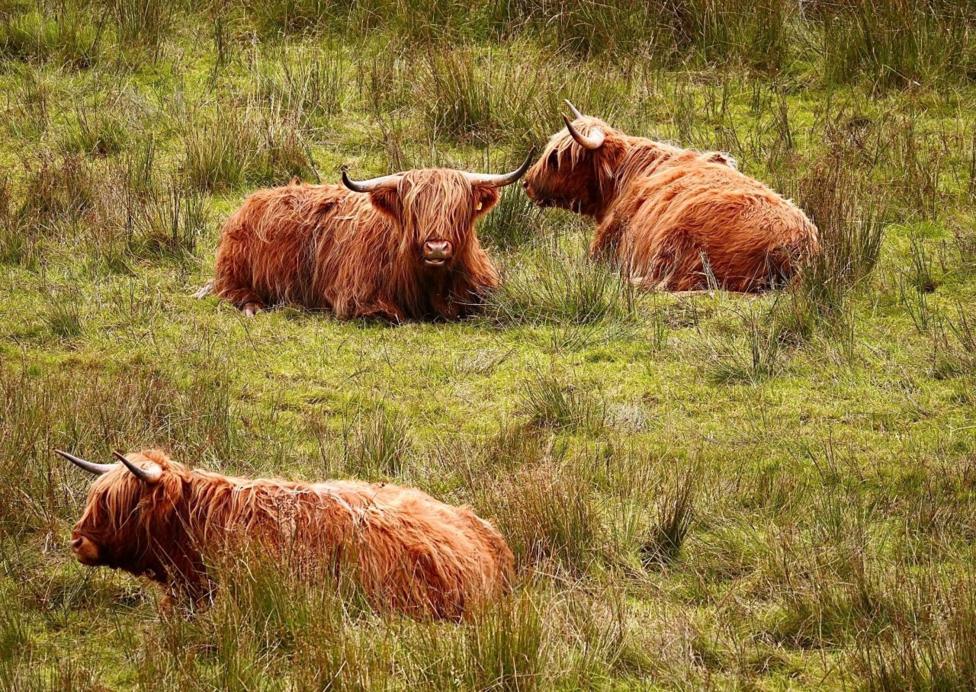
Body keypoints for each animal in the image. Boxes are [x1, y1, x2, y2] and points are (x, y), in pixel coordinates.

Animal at [203, 157, 531, 321]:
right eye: (414, 208)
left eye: (458, 208)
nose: (436, 247)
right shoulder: (355, 298)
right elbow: (393, 316)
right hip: (235, 270)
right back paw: (252, 307)